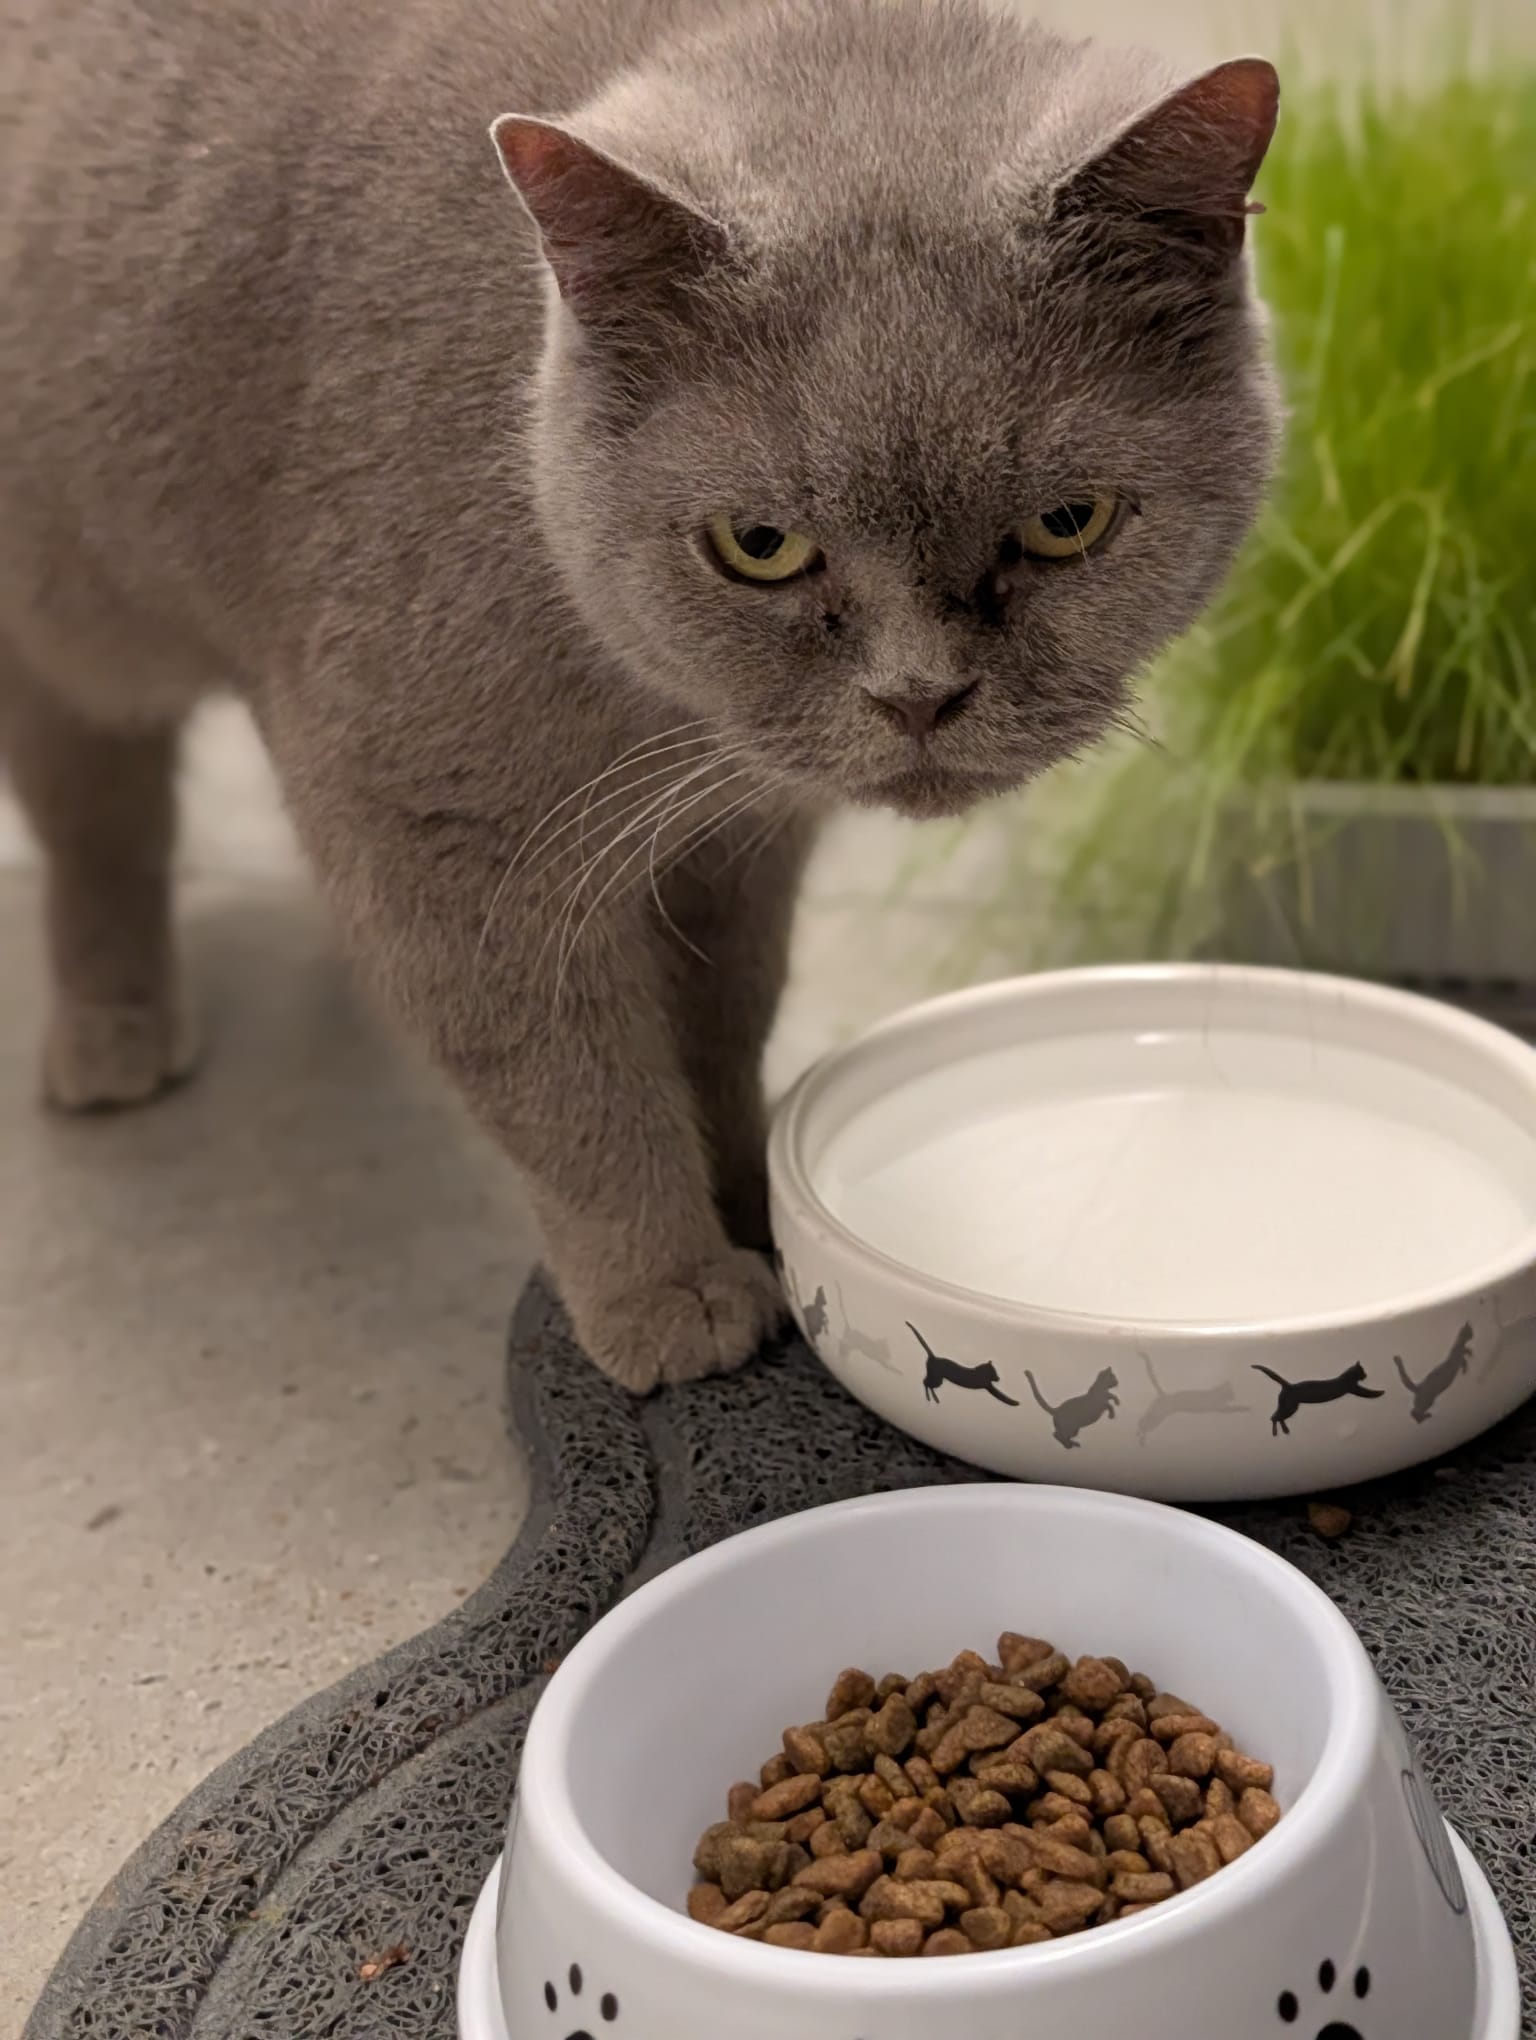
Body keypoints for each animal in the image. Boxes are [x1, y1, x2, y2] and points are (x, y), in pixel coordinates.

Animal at [0, 0, 1279, 1392]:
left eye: (1066, 523)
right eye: (759, 545)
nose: (920, 697)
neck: (662, 712)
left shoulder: (740, 837)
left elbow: (721, 1022)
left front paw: (753, 1194)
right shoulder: (436, 826)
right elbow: (574, 1086)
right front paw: (673, 1296)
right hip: (61, 611)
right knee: (99, 815)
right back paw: (113, 1035)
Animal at [1253, 1361, 1383, 1439]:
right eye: (1362, 1372)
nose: (1366, 1375)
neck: (1346, 1378)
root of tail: (1288, 1385)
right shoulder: (1353, 1388)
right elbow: (1367, 1392)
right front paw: (1380, 1392)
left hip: (1286, 1405)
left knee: (1276, 1416)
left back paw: (1285, 1430)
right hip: (1290, 1406)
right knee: (1274, 1417)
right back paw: (1276, 1432)